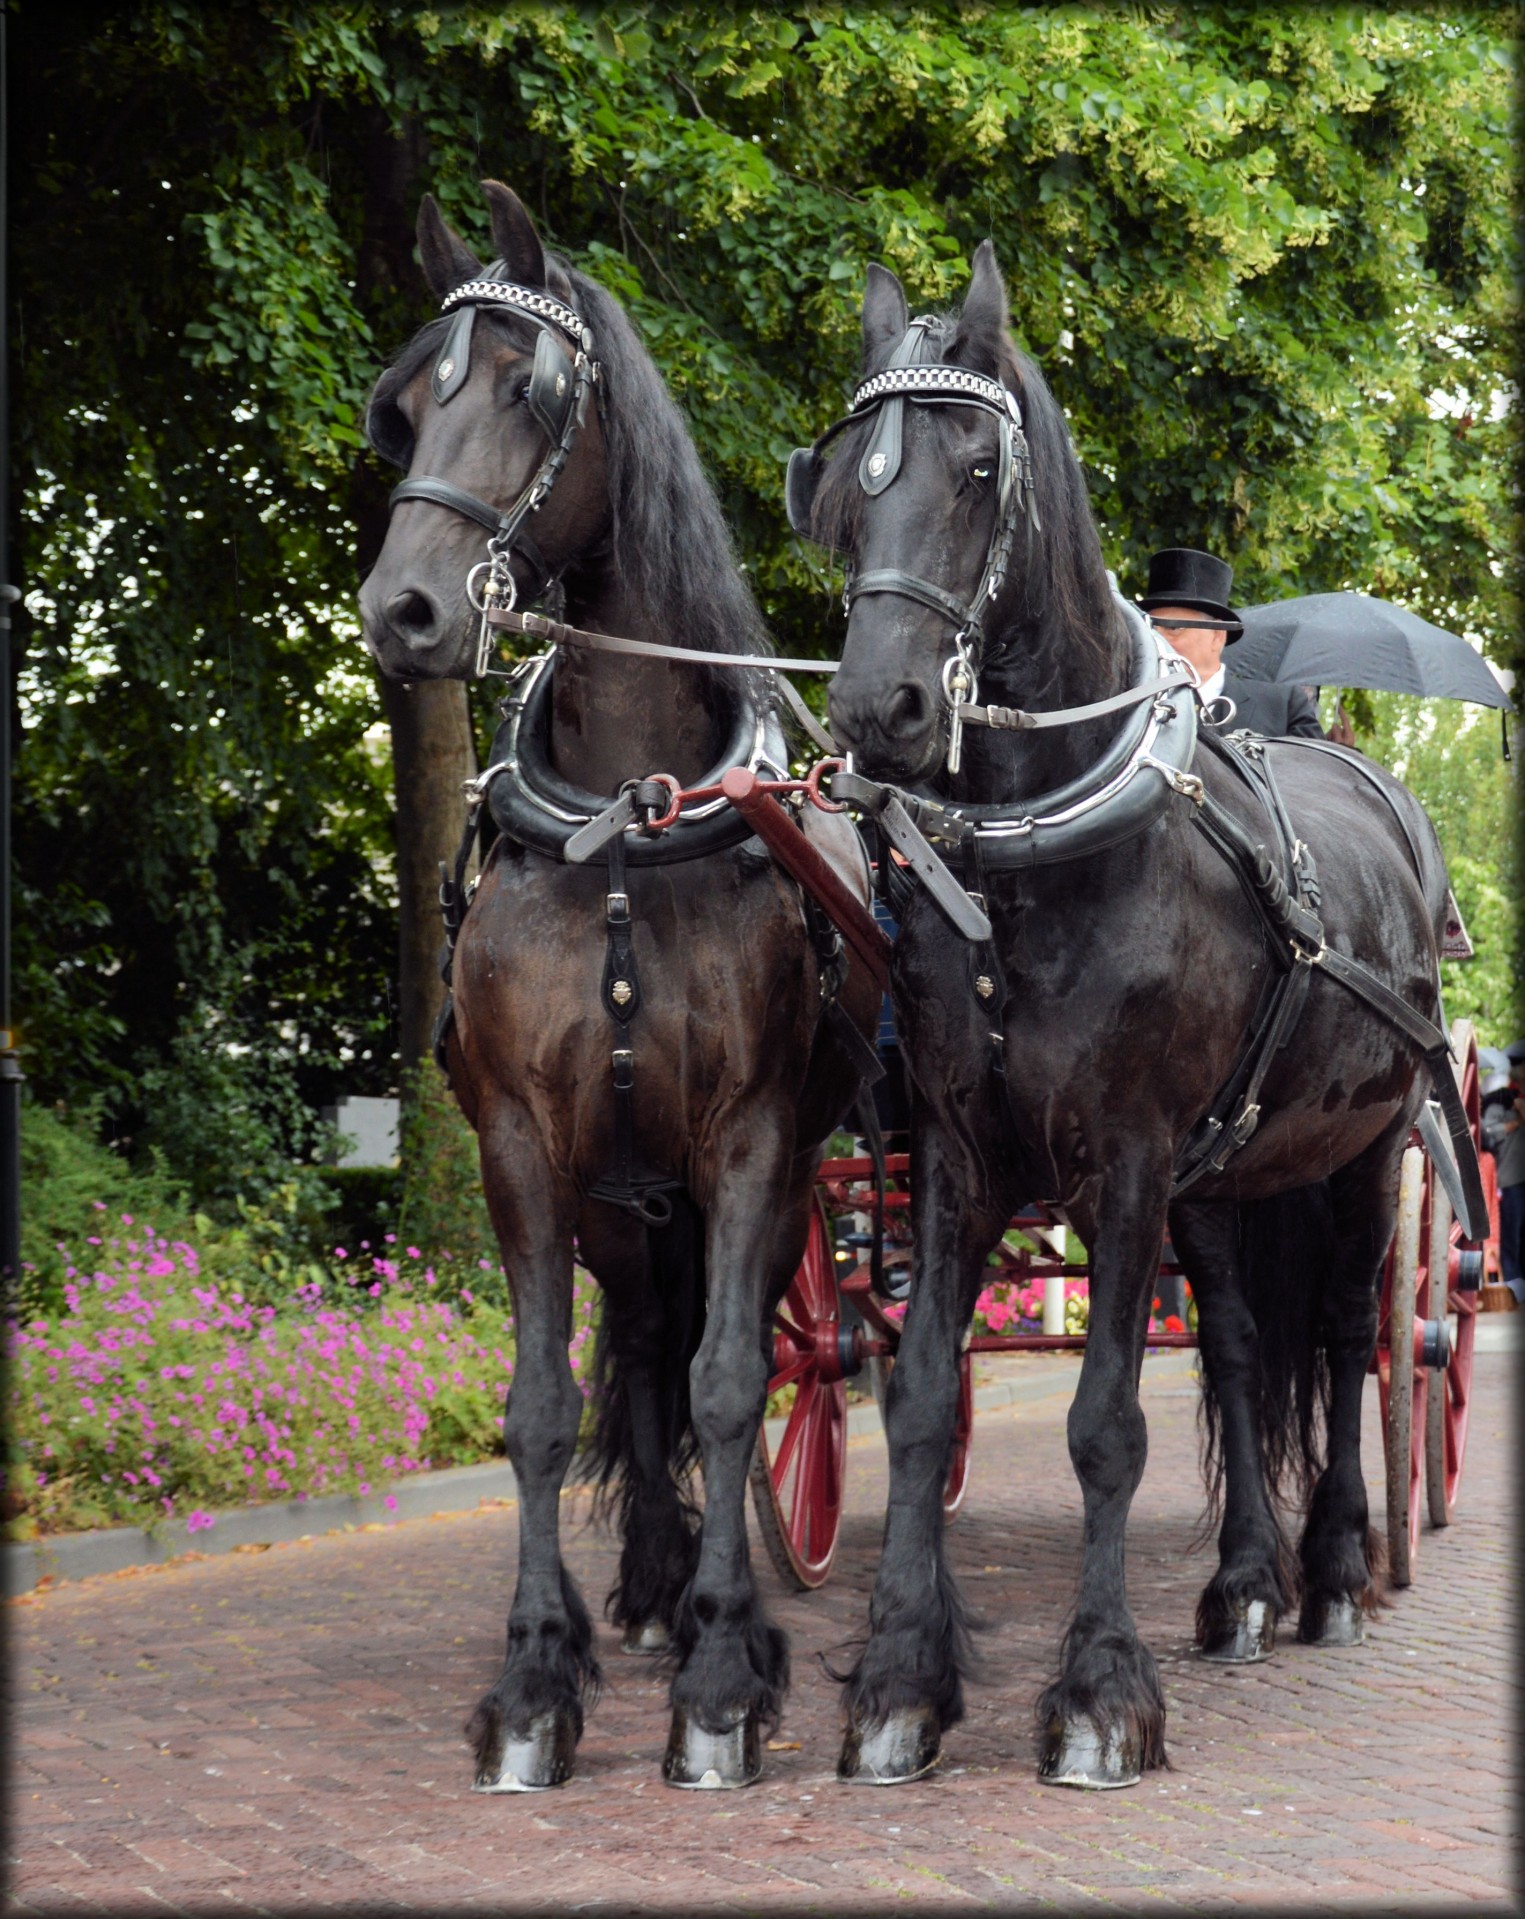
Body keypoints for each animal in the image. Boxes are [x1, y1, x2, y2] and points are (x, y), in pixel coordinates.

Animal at [358, 187, 878, 1788]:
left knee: (722, 1357)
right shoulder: (523, 1145)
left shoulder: (756, 1141)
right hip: (621, 1197)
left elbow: (727, 1385)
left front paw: (721, 1680)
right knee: (639, 1349)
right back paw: (646, 1587)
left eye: (529, 390)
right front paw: (537, 1679)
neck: (628, 824)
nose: (401, 610)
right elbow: (542, 1406)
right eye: (407, 405)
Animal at [797, 247, 1457, 1788]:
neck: (1036, 861)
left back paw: (1338, 1569)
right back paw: (1245, 1587)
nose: (876, 705)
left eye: (979, 466)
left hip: (1361, 1151)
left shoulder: (1129, 1158)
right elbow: (920, 1398)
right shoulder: (960, 1156)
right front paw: (898, 1687)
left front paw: (1098, 1695)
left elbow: (1105, 1422)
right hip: (1229, 1177)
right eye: (846, 475)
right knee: (1239, 1350)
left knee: (1345, 1334)